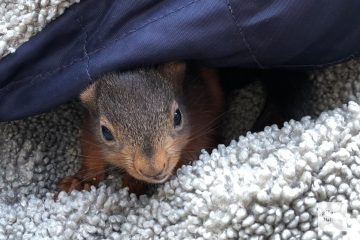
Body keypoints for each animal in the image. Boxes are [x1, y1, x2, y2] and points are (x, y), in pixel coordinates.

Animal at [57, 62, 224, 196]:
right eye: (106, 132)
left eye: (178, 116)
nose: (153, 170)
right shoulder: (90, 128)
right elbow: (91, 152)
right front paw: (80, 180)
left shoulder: (202, 114)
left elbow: (195, 149)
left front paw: (133, 182)